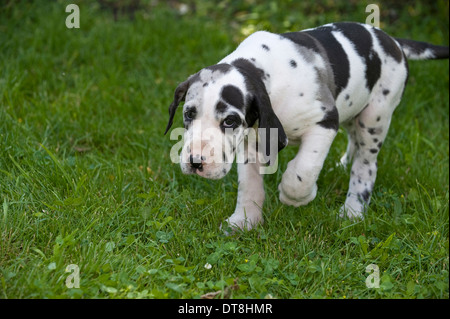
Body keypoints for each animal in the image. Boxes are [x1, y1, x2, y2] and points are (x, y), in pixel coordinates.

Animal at [163, 23, 448, 232]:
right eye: (188, 114)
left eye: (230, 121)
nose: (195, 162)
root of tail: (393, 42)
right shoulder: (251, 140)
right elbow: (249, 184)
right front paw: (245, 220)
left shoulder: (325, 121)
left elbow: (303, 170)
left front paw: (298, 196)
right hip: (353, 110)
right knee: (353, 140)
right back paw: (342, 165)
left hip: (375, 116)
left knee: (366, 165)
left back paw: (353, 210)